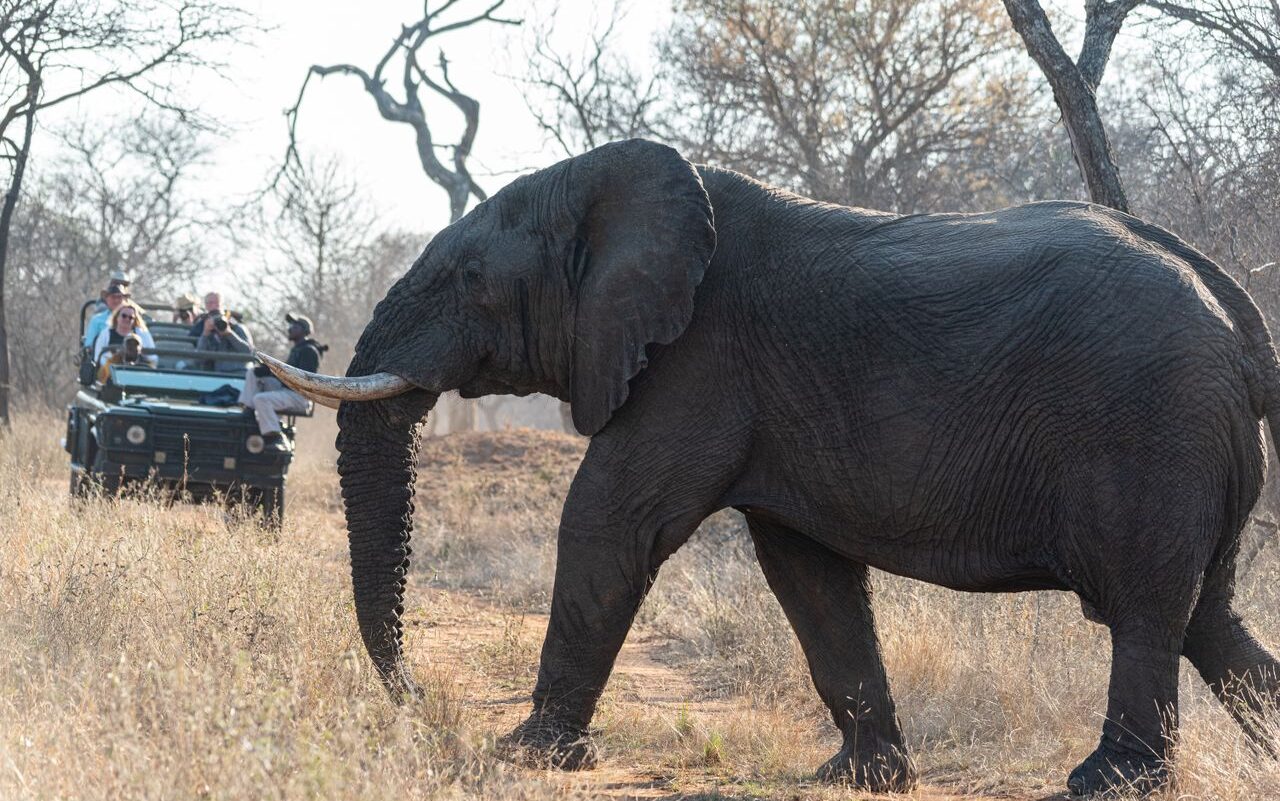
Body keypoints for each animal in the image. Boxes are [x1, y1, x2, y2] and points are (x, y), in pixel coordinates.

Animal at [262, 139, 1280, 796]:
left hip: (1152, 430)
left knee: (1146, 608)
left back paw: (1106, 782)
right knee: (1207, 615)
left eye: (470, 281)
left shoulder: (694, 362)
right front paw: (862, 777)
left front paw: (527, 753)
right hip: (1194, 448)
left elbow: (607, 523)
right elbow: (806, 571)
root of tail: (1237, 314)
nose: (419, 698)